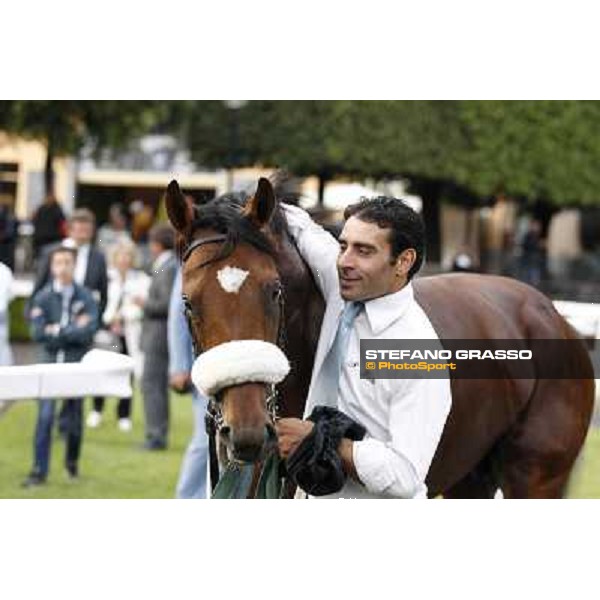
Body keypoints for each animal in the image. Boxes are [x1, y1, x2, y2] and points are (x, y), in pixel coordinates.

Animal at [165, 176, 596, 500]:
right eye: (187, 302)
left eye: (275, 291)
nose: (249, 431)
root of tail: (553, 315)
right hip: (470, 475)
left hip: (536, 476)